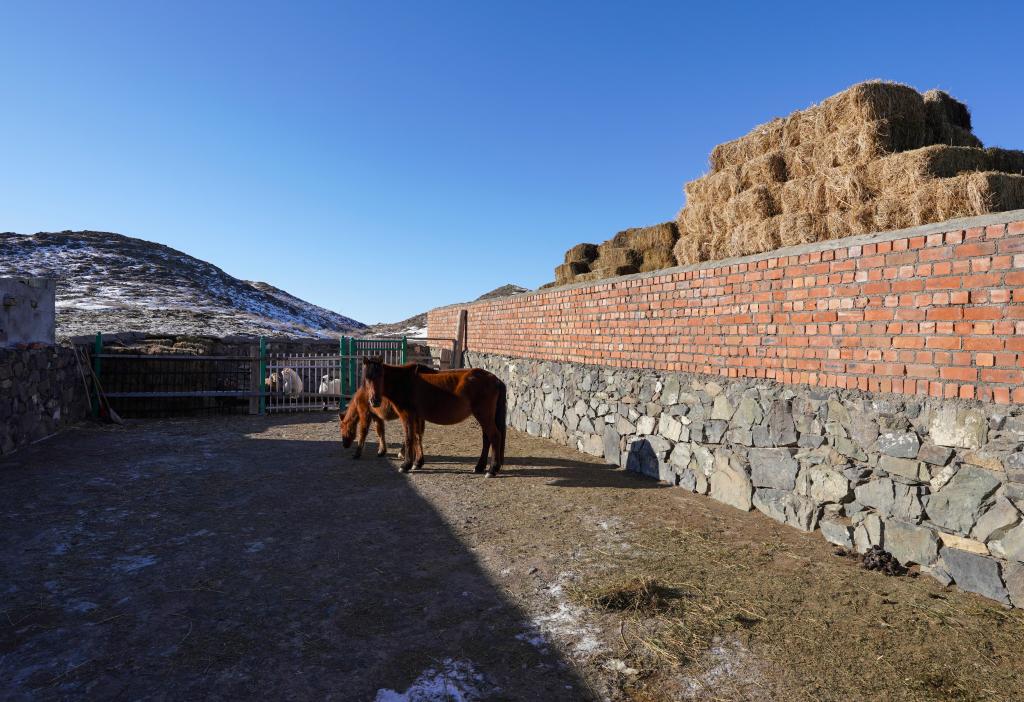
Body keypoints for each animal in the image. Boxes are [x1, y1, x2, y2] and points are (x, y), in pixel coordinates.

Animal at [361, 357, 507, 477]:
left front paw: (406, 465)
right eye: (367, 377)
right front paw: (418, 463)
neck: (404, 382)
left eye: (381, 375)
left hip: (483, 415)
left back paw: (492, 470)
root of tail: (496, 379)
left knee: (494, 436)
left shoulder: (407, 415)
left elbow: (409, 438)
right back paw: (479, 467)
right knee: (486, 439)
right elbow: (417, 437)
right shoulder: (417, 416)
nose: (374, 401)